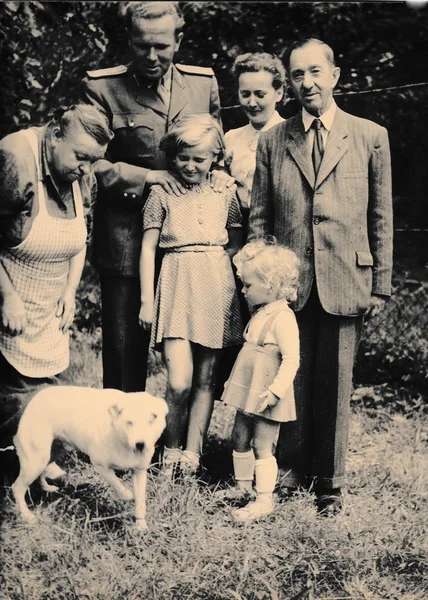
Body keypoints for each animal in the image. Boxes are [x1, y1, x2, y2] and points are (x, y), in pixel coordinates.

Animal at [10, 384, 168, 528]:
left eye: (153, 418)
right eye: (129, 422)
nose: (140, 444)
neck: (121, 438)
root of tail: (35, 400)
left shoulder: (139, 471)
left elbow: (140, 502)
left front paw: (141, 526)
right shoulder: (100, 466)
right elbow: (118, 485)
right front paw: (127, 495)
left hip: (52, 453)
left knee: (42, 471)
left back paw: (46, 487)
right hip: (36, 459)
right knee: (17, 487)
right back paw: (27, 515)